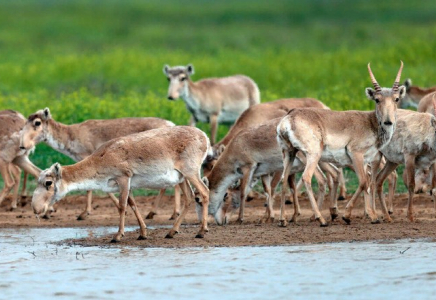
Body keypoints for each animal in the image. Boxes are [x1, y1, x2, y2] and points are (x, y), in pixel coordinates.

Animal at [19, 108, 180, 220]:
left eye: (37, 122)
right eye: (25, 123)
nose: (22, 145)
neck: (72, 135)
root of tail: (171, 124)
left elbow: (90, 188)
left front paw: (84, 213)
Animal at [30, 126, 211, 241]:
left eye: (48, 182)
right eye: (37, 181)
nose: (36, 209)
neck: (99, 160)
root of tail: (205, 137)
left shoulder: (123, 178)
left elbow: (122, 206)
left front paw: (117, 235)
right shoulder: (128, 184)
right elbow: (133, 205)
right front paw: (143, 233)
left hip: (191, 172)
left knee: (204, 192)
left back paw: (202, 231)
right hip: (181, 177)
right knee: (189, 198)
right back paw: (172, 232)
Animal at [278, 61, 404, 225]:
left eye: (396, 99)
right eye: (377, 99)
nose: (388, 122)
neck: (370, 122)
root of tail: (289, 118)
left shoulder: (365, 161)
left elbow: (368, 183)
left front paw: (371, 215)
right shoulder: (356, 154)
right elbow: (363, 182)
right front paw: (349, 215)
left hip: (289, 154)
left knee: (284, 180)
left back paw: (283, 220)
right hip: (313, 155)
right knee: (307, 178)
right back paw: (321, 219)